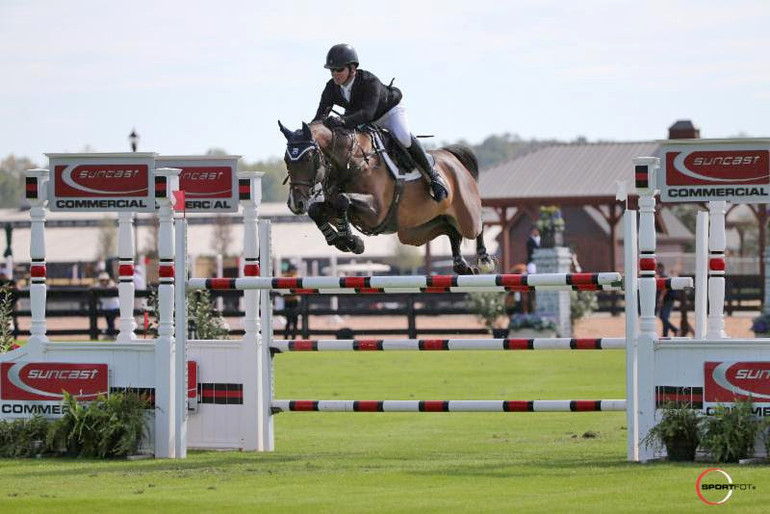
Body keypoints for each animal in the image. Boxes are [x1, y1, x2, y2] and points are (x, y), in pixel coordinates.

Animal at [280, 120, 496, 274]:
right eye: (286, 160)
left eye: (308, 158)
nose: (296, 204)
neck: (350, 162)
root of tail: (452, 157)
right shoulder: (333, 207)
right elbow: (317, 209)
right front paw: (340, 240)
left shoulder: (376, 211)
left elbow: (344, 200)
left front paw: (352, 241)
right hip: (415, 231)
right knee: (451, 230)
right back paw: (461, 265)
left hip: (466, 214)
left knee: (478, 224)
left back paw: (485, 260)